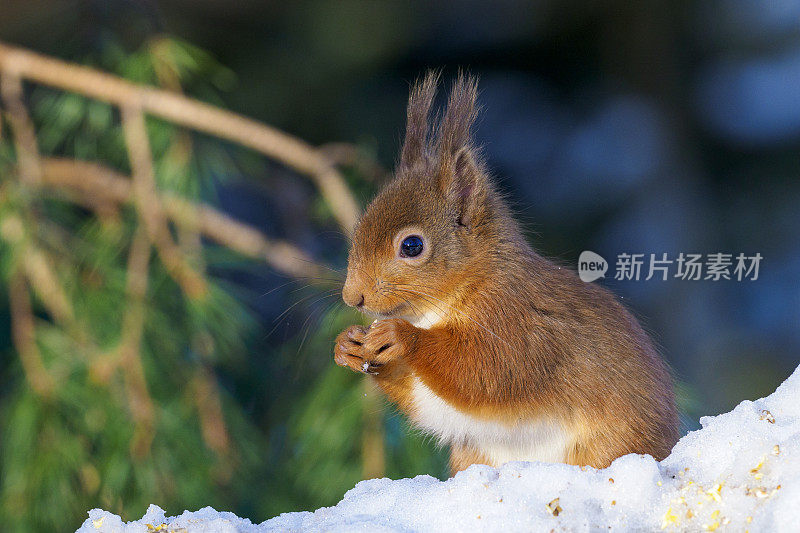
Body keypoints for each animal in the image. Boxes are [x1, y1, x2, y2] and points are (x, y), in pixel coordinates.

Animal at [334, 71, 680, 474]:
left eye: (412, 246)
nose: (352, 297)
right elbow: (427, 399)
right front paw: (346, 345)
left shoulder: (516, 320)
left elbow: (489, 371)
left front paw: (402, 337)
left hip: (609, 449)